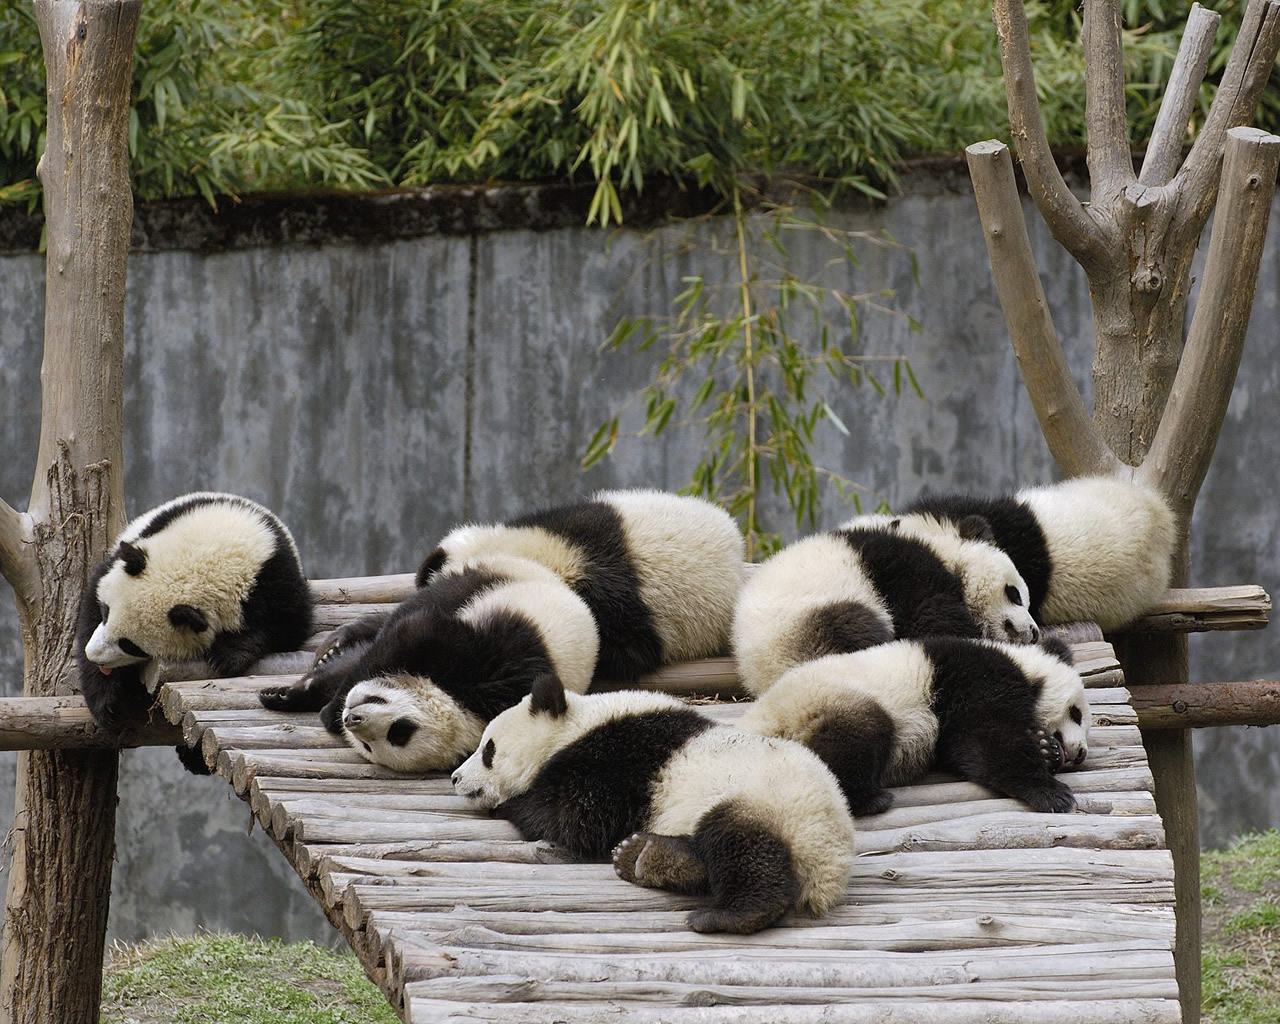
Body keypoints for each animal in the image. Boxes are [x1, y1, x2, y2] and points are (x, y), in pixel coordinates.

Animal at [77, 492, 313, 731]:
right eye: (106, 612)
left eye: (130, 645)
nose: (93, 655)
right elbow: (90, 606)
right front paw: (108, 702)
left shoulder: (273, 576)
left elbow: (288, 627)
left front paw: (226, 656)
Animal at [259, 556, 600, 772]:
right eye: (402, 728)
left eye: (394, 736)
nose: (352, 719)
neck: (465, 704)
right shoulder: (484, 659)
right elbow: (409, 633)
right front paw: (315, 700)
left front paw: (319, 706)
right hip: (488, 582)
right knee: (416, 607)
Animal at [451, 674, 855, 934]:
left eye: (488, 750)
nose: (455, 778)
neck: (576, 725)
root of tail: (830, 864)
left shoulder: (618, 760)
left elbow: (578, 818)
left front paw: (513, 803)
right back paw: (646, 857)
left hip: (767, 802)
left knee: (741, 844)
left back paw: (726, 915)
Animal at [732, 516, 1038, 696]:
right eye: (1014, 594)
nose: (1034, 632)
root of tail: (760, 675)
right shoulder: (903, 568)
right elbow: (931, 617)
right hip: (805, 621)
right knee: (855, 629)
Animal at [740, 635, 1090, 817]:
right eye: (1076, 713)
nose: (1081, 753)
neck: (1024, 665)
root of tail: (757, 726)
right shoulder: (975, 678)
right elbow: (987, 740)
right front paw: (1052, 793)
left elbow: (964, 751)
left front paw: (1045, 749)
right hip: (822, 703)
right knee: (856, 737)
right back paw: (869, 799)